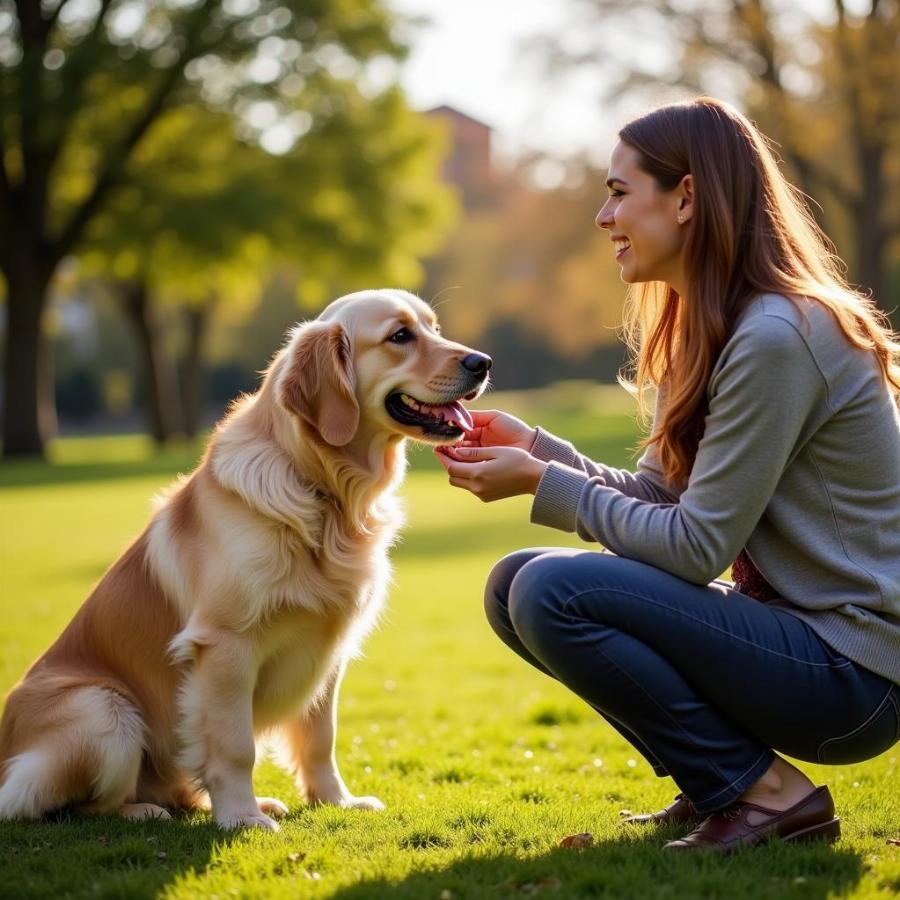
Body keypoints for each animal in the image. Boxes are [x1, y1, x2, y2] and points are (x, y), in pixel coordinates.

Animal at [0, 288, 492, 828]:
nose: (483, 362)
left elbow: (321, 738)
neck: (323, 491)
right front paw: (241, 817)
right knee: (75, 803)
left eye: (434, 328)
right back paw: (145, 810)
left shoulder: (328, 648)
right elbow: (236, 747)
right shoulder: (225, 646)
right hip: (104, 708)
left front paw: (335, 800)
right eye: (400, 336)